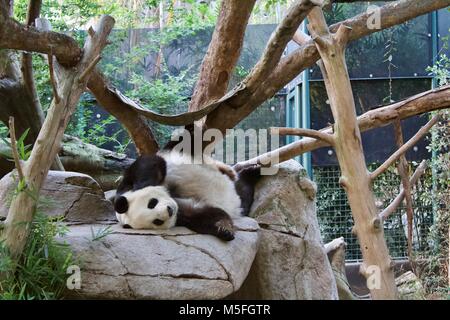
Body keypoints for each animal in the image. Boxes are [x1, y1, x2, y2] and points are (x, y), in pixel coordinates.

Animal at [113, 149, 260, 240]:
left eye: (152, 203)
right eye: (157, 221)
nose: (170, 210)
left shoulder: (126, 186)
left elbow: (149, 163)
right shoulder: (181, 215)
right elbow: (204, 214)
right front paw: (224, 231)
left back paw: (250, 171)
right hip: (239, 200)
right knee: (244, 193)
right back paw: (250, 175)